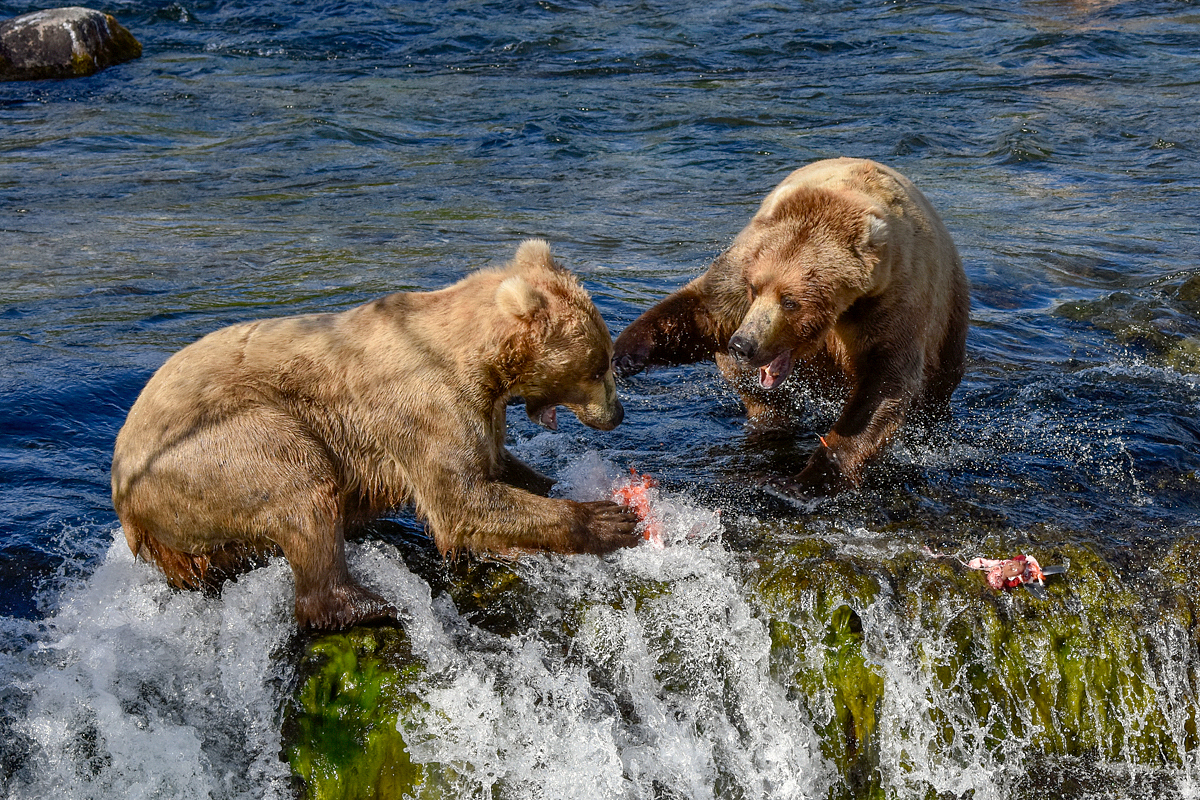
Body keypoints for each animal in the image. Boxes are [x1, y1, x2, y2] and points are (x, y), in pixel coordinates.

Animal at [112, 241, 638, 628]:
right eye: (600, 365)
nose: (617, 414)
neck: (478, 360)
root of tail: (123, 494)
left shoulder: (482, 411)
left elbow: (496, 465)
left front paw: (556, 484)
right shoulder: (424, 407)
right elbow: (460, 500)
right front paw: (609, 519)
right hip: (214, 448)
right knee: (302, 484)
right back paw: (365, 603)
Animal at [614, 158, 969, 494]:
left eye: (790, 301)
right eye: (755, 288)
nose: (743, 345)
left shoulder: (893, 301)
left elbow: (882, 387)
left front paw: (803, 481)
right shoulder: (747, 261)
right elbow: (708, 309)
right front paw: (625, 354)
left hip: (948, 320)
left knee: (937, 388)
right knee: (757, 393)